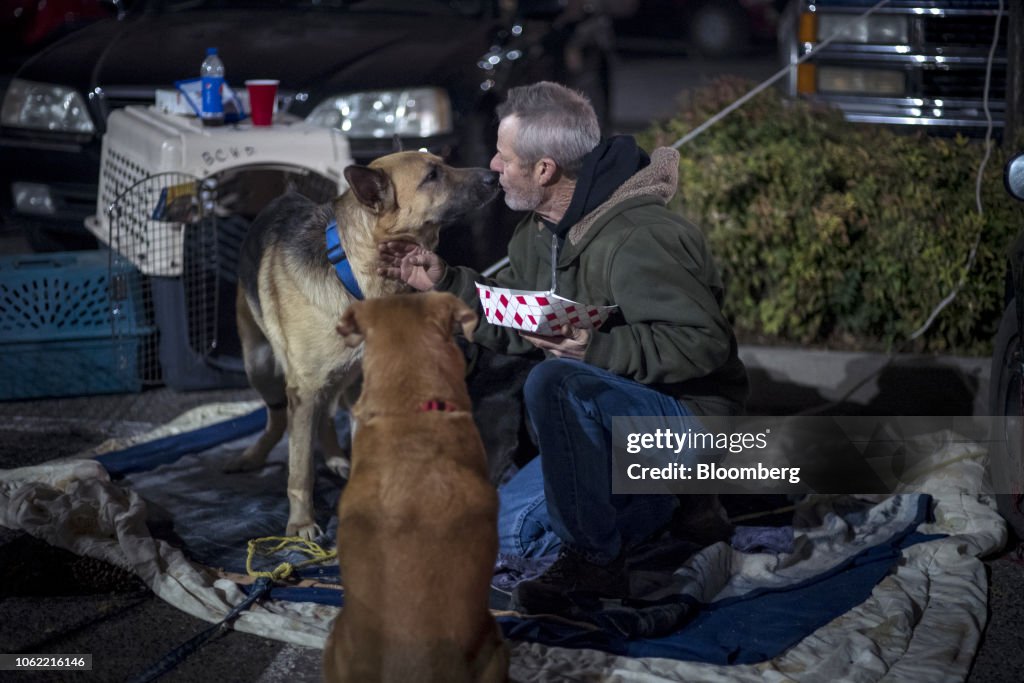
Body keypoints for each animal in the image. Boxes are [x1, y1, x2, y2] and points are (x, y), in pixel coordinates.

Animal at [229, 150, 499, 540]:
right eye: (432, 176)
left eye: (444, 163)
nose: (495, 177)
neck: (357, 277)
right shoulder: (304, 389)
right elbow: (300, 469)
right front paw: (301, 522)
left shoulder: (357, 387)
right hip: (260, 366)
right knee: (278, 418)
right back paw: (252, 456)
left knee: (325, 416)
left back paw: (334, 456)